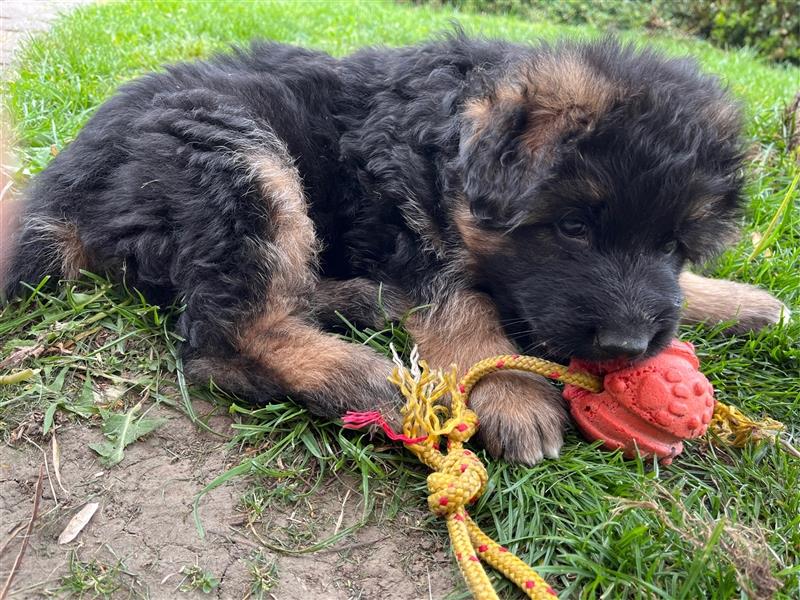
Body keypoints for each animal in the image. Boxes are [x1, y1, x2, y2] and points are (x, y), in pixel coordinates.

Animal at [3, 34, 792, 464]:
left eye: (675, 243)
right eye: (572, 228)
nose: (629, 348)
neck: (450, 136)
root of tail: (66, 185)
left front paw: (747, 303)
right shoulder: (404, 226)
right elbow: (464, 303)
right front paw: (510, 391)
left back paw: (359, 302)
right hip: (237, 158)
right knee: (223, 336)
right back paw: (369, 378)